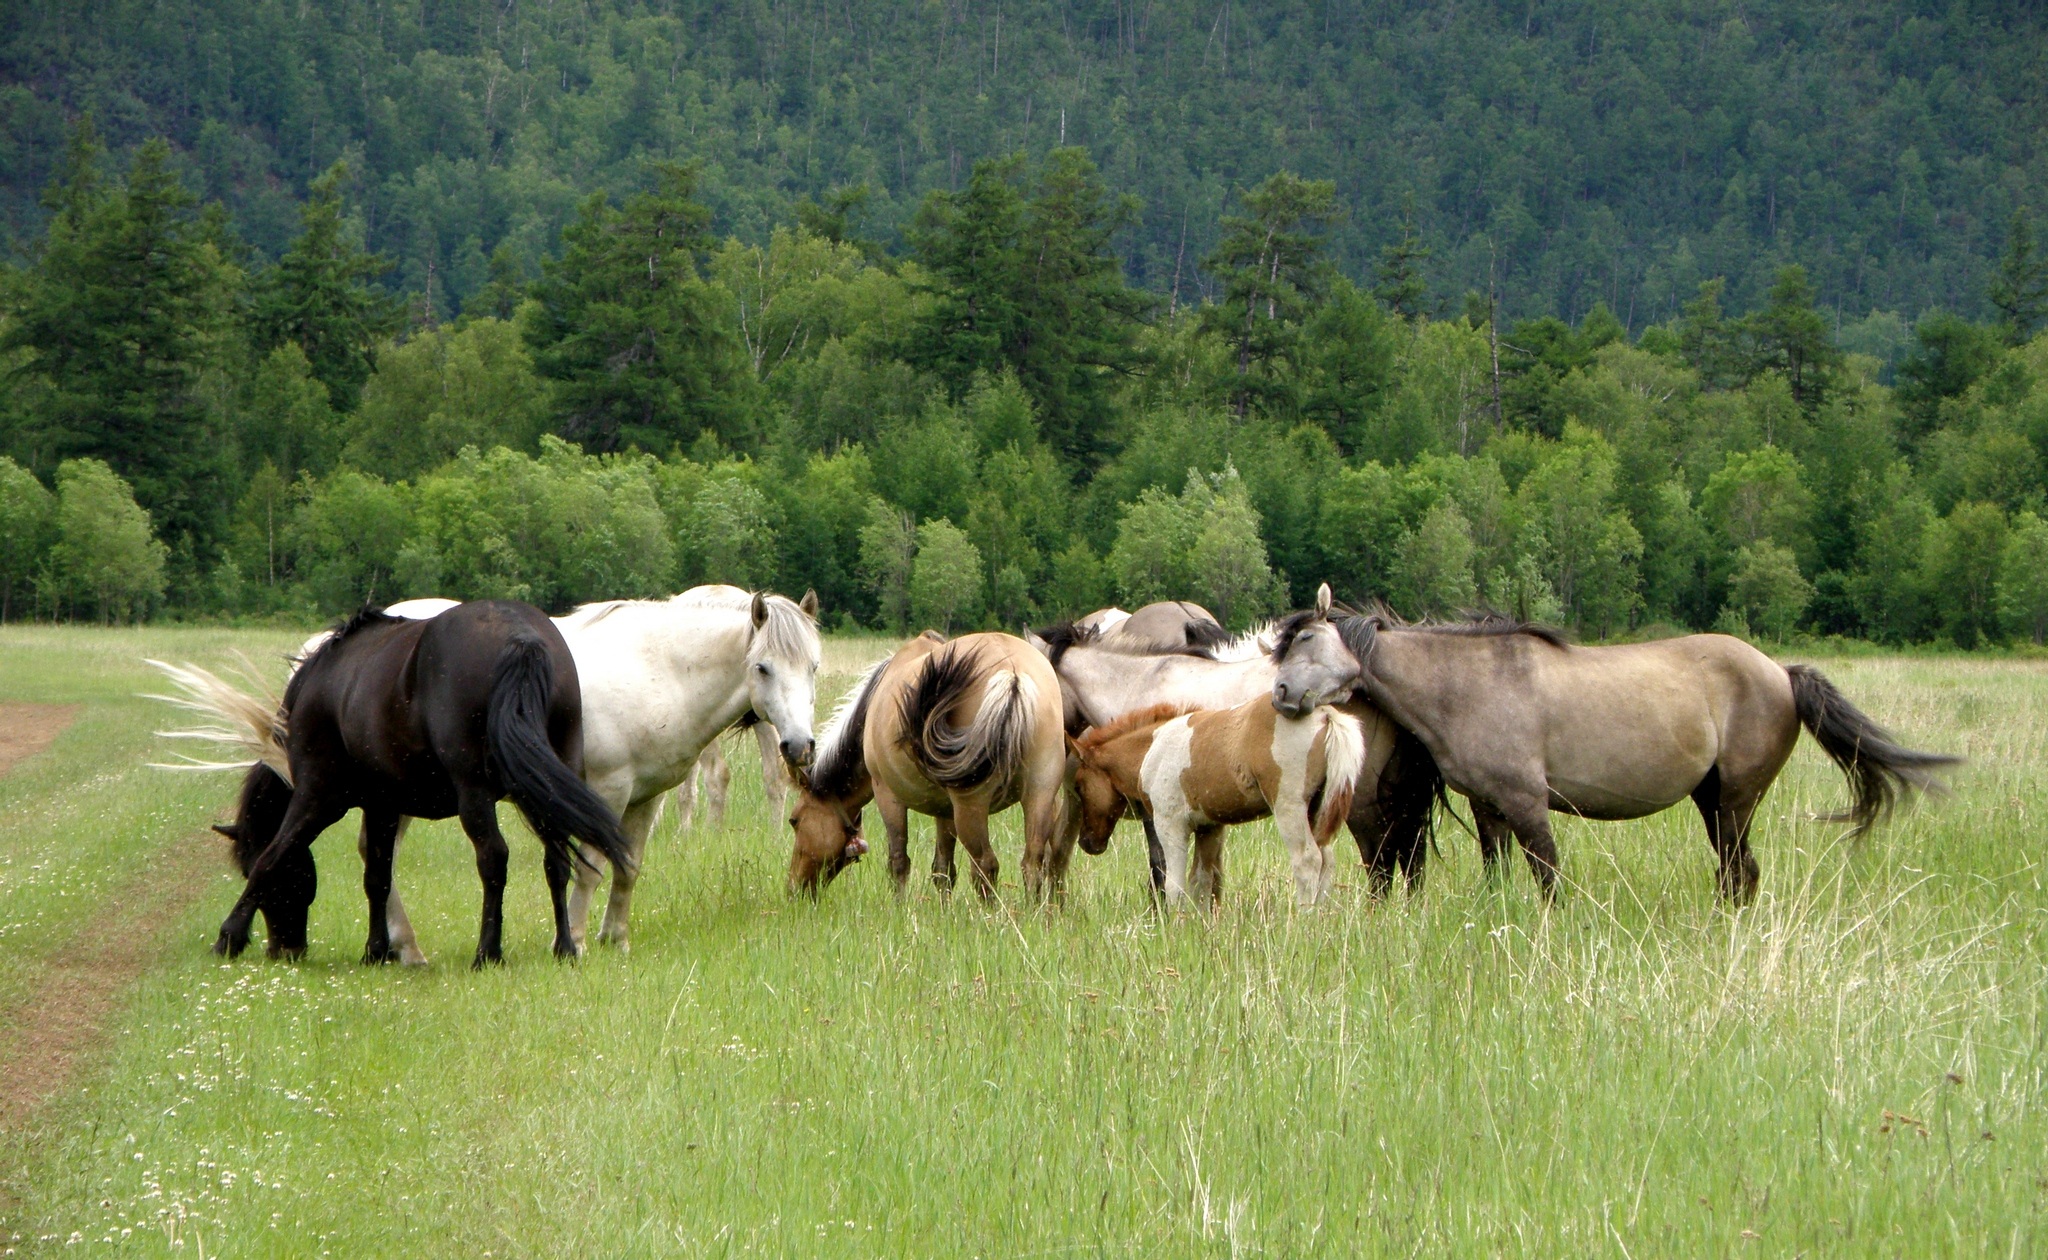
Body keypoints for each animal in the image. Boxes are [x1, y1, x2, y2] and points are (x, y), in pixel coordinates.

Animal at [782, 635, 1073, 901]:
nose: (794, 889)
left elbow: (899, 861)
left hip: (971, 806)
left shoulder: (888, 796)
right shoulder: (945, 810)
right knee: (1032, 863)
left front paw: (899, 908)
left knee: (985, 866)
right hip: (1040, 793)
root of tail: (1012, 673)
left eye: (794, 820)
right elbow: (943, 869)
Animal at [1064, 696, 1368, 913]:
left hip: (1289, 807)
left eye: (1079, 785)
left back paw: (1303, 922)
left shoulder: (1170, 825)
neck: (1152, 750)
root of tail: (1324, 714)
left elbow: (1175, 885)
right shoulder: (1208, 827)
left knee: (1307, 861)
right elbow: (1202, 881)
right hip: (1316, 808)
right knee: (1327, 861)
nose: (1087, 842)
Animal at [1269, 585, 1957, 901]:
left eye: (1307, 641)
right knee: (1735, 874)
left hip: (1735, 800)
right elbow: (1498, 877)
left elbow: (1548, 878)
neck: (1470, 683)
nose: (1280, 694)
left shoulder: (1527, 803)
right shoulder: (1489, 807)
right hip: (1712, 801)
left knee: (1741, 873)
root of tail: (1781, 673)